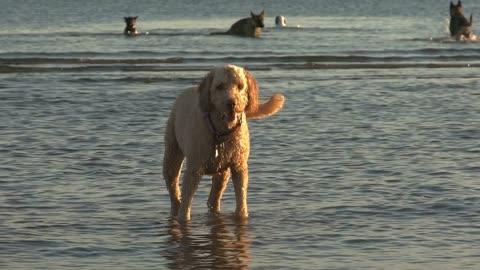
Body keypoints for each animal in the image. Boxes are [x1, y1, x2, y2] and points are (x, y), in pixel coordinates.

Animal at [163, 63, 284, 221]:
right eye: (219, 86)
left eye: (240, 86)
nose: (231, 103)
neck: (221, 133)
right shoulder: (194, 169)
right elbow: (186, 202)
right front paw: (184, 218)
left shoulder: (239, 167)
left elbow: (241, 198)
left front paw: (241, 216)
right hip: (172, 152)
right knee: (173, 187)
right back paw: (176, 206)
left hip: (222, 172)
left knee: (214, 197)